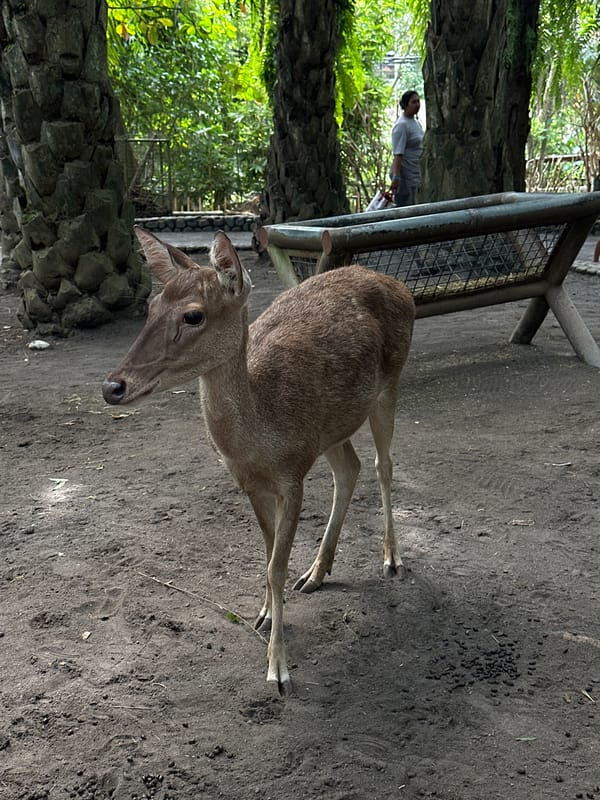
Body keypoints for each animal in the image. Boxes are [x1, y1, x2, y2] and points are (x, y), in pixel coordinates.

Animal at [102, 227, 415, 695]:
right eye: (151, 306)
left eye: (193, 316)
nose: (113, 387)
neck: (264, 438)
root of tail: (399, 285)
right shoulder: (251, 482)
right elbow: (268, 556)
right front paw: (265, 614)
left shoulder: (293, 476)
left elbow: (276, 566)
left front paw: (279, 670)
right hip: (332, 426)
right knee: (350, 468)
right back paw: (316, 573)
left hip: (390, 383)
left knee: (384, 464)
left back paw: (391, 560)